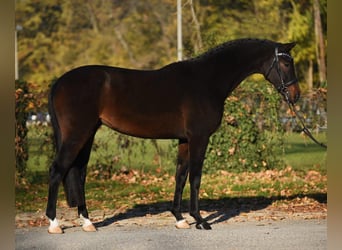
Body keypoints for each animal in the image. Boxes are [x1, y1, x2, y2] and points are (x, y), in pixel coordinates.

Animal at [44, 38, 300, 233]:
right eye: (286, 62)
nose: (296, 95)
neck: (207, 80)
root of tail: (60, 82)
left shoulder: (185, 140)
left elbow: (180, 176)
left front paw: (180, 218)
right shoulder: (199, 138)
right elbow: (195, 177)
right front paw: (200, 220)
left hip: (87, 135)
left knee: (78, 174)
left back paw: (88, 222)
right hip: (76, 135)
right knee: (57, 171)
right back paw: (54, 223)